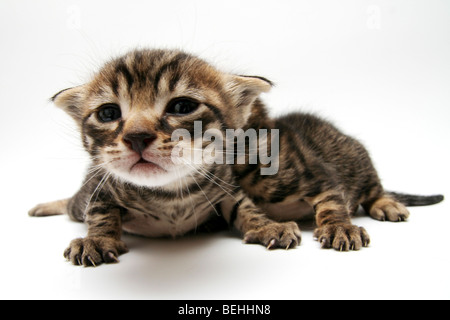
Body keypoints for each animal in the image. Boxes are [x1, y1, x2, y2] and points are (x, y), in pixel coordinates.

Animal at [29, 49, 442, 264]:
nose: (137, 137)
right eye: (108, 113)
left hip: (359, 163)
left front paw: (283, 226)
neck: (170, 194)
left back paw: (386, 204)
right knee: (74, 204)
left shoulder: (310, 176)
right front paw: (96, 239)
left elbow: (322, 202)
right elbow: (100, 212)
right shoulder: (102, 186)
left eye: (182, 106)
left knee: (373, 189)